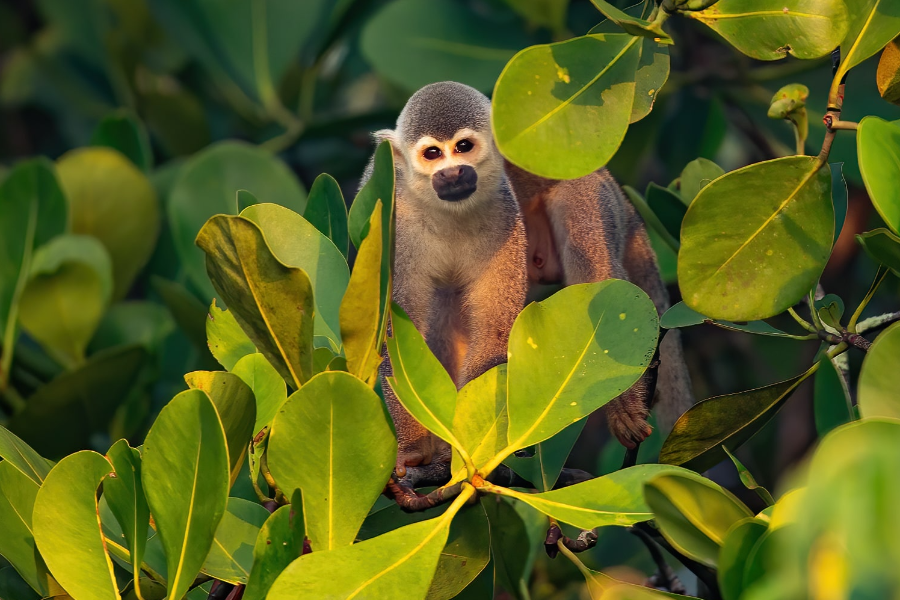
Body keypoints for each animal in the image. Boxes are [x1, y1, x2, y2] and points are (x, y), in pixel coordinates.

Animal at [366, 81, 532, 474]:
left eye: (463, 148)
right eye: (432, 154)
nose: (452, 173)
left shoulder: (505, 216)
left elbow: (493, 332)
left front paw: (478, 443)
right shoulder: (397, 226)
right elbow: (398, 334)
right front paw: (412, 448)